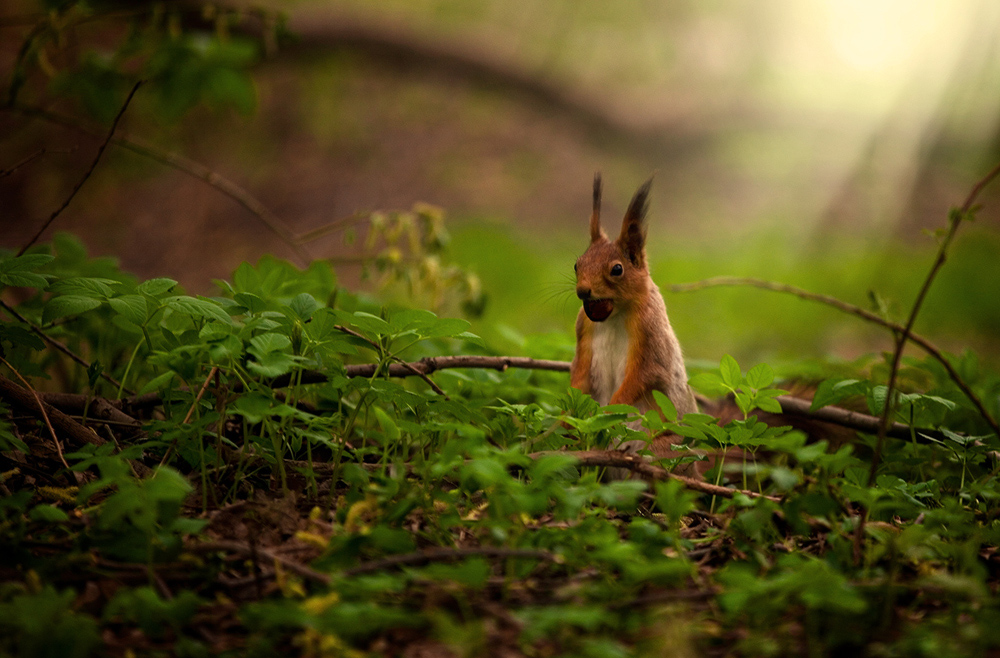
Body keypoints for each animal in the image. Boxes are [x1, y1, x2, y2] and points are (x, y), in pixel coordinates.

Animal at [572, 172, 704, 464]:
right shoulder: (583, 331)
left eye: (617, 269)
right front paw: (570, 417)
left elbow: (645, 375)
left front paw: (608, 411)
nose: (583, 291)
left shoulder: (650, 331)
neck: (613, 315)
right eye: (577, 264)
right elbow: (579, 374)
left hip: (663, 449)